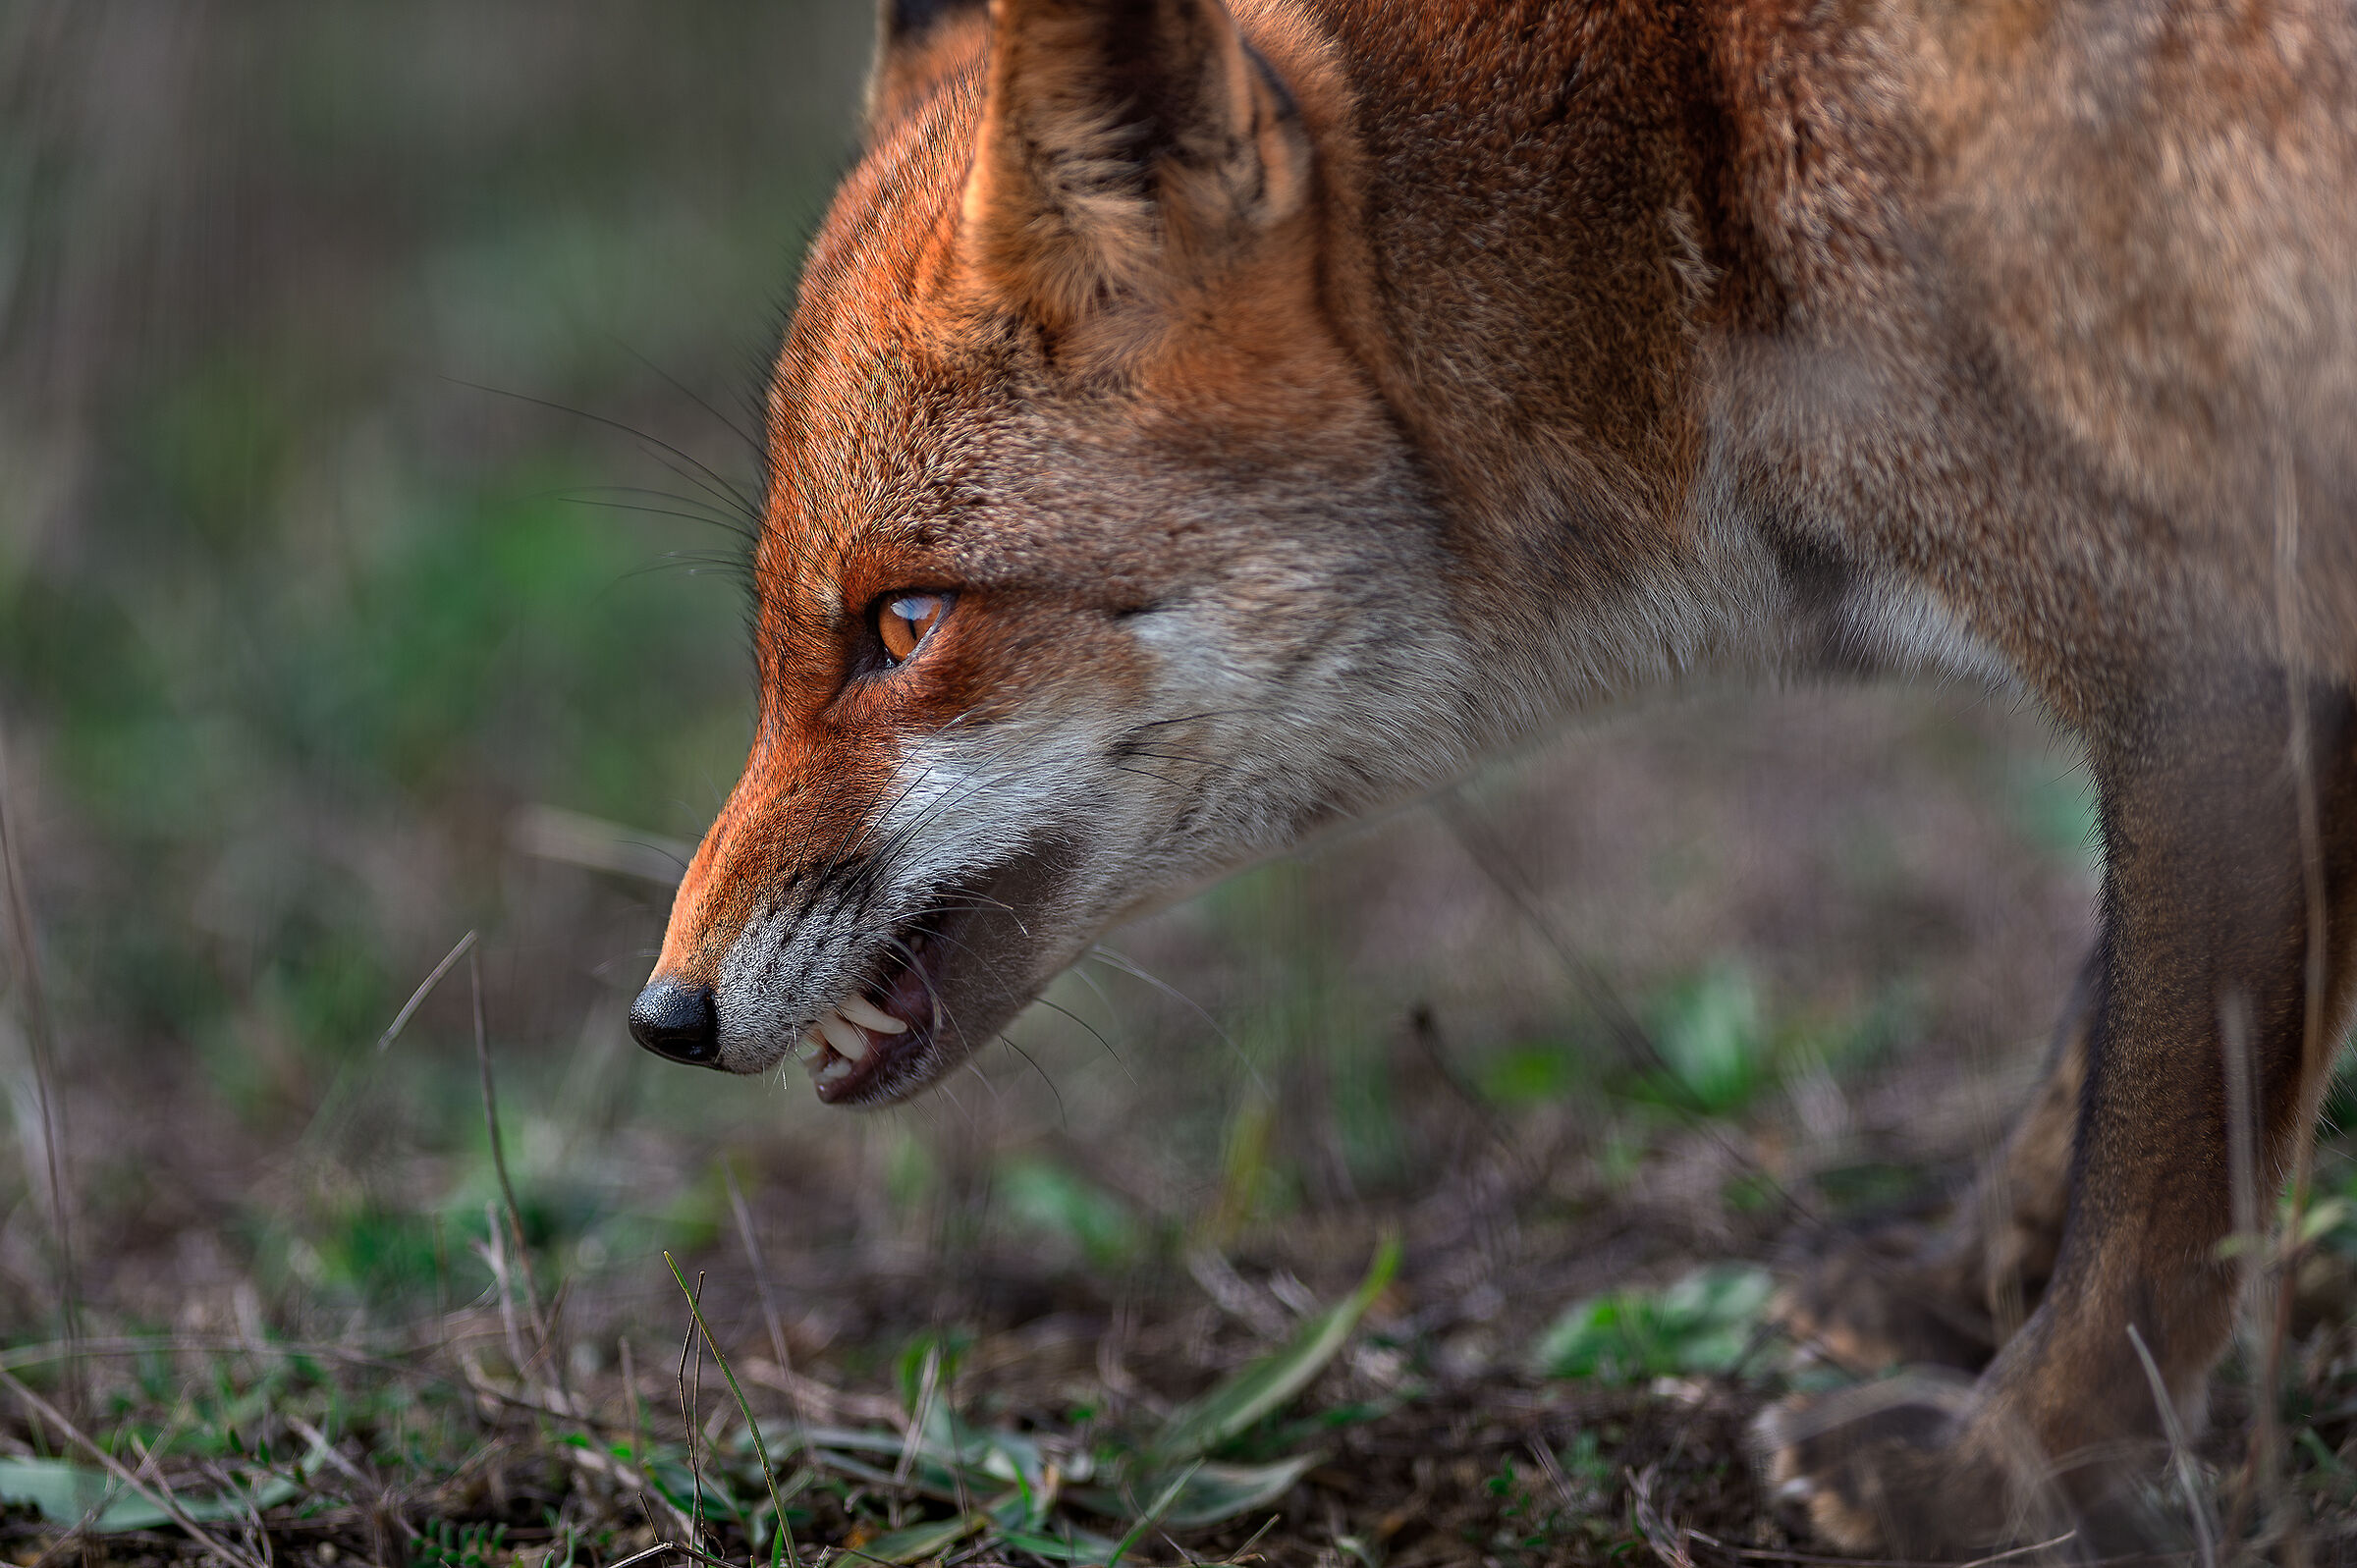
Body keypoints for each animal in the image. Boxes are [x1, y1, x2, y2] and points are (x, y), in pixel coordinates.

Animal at [626, 0, 2357, 1553]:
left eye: (903, 622)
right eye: (787, 636)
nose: (662, 1014)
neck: (1701, 181)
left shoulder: (2214, 663)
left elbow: (2154, 1180)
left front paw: (2009, 1474)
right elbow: (2088, 1067)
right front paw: (1945, 1288)